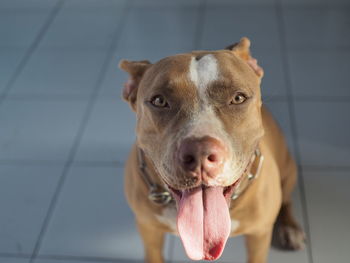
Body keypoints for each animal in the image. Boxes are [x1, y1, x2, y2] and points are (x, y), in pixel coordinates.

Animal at [119, 37, 304, 263]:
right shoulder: (148, 228)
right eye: (159, 101)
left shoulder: (259, 234)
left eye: (238, 98)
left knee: (286, 200)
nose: (200, 152)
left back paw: (290, 228)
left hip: (289, 170)